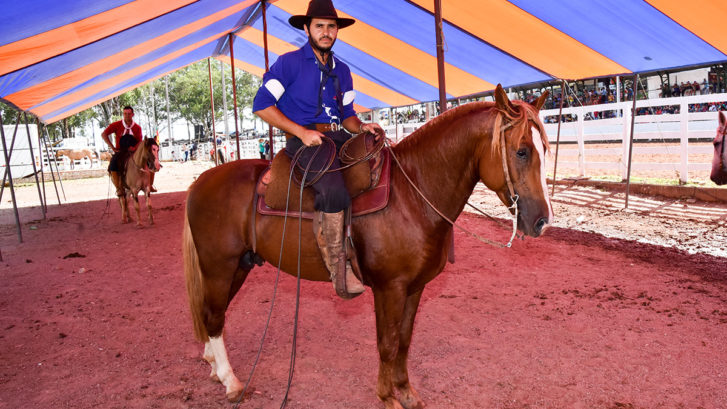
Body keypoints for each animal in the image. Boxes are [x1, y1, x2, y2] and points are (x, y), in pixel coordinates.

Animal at [185, 86, 556, 408]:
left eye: (545, 149)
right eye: (522, 151)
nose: (541, 221)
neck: (412, 194)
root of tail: (201, 181)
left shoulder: (414, 288)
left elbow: (404, 341)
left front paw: (406, 392)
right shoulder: (389, 288)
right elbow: (387, 344)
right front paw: (387, 397)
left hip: (239, 266)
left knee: (211, 314)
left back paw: (214, 366)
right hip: (219, 267)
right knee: (213, 316)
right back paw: (231, 382)